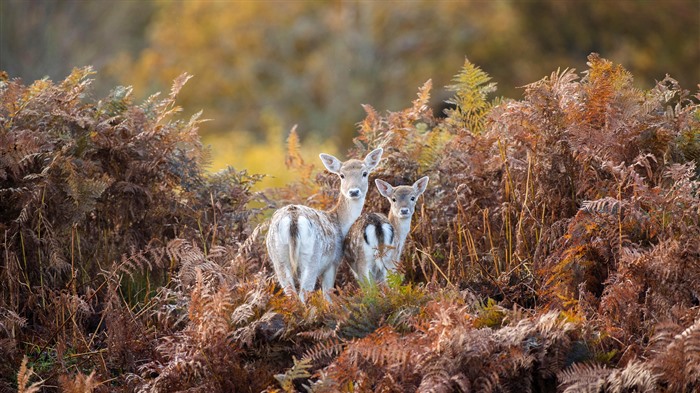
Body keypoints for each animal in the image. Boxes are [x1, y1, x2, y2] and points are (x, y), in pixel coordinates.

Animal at [266, 147, 382, 300]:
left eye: (365, 173)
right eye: (342, 175)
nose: (354, 191)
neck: (340, 223)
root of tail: (292, 218)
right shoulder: (333, 262)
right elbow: (327, 295)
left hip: (278, 256)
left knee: (291, 293)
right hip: (311, 257)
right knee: (304, 293)